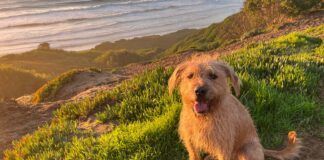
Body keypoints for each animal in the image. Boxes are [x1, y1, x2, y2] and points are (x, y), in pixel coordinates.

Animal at [168, 57, 302, 160]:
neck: (204, 118)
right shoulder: (190, 141)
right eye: (190, 76)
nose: (199, 91)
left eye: (213, 76)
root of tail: (262, 147)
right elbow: (194, 154)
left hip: (248, 150)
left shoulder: (223, 147)